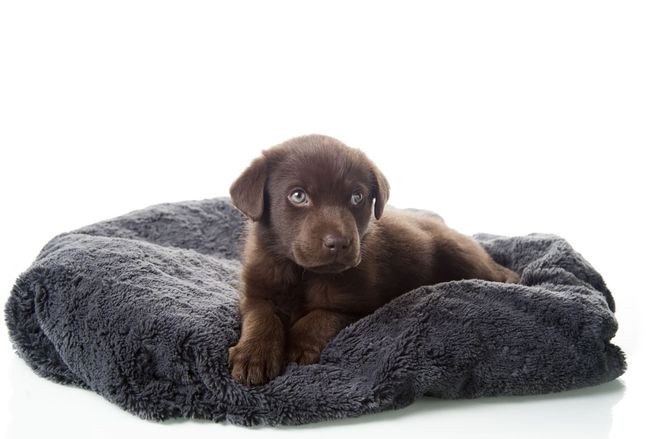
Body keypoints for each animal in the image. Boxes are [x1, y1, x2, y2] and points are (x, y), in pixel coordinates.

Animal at [229, 135, 520, 388]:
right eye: (298, 195)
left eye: (356, 197)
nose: (339, 243)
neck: (303, 272)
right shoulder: (256, 292)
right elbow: (261, 317)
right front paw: (254, 355)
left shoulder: (360, 304)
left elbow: (321, 316)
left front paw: (298, 344)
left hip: (459, 253)